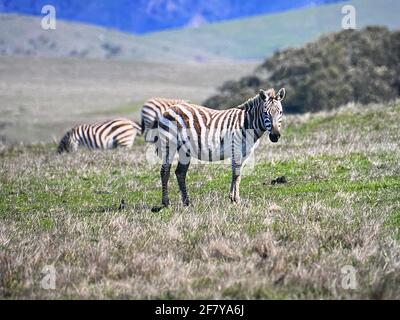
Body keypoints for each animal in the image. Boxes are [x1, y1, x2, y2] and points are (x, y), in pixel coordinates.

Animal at [155, 87, 284, 208]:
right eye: (265, 113)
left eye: (281, 112)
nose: (275, 136)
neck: (247, 123)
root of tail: (170, 108)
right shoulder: (236, 148)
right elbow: (237, 174)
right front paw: (236, 200)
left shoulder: (243, 152)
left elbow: (236, 174)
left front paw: (232, 198)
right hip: (169, 143)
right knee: (165, 171)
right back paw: (166, 202)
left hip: (184, 149)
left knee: (180, 173)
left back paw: (187, 202)